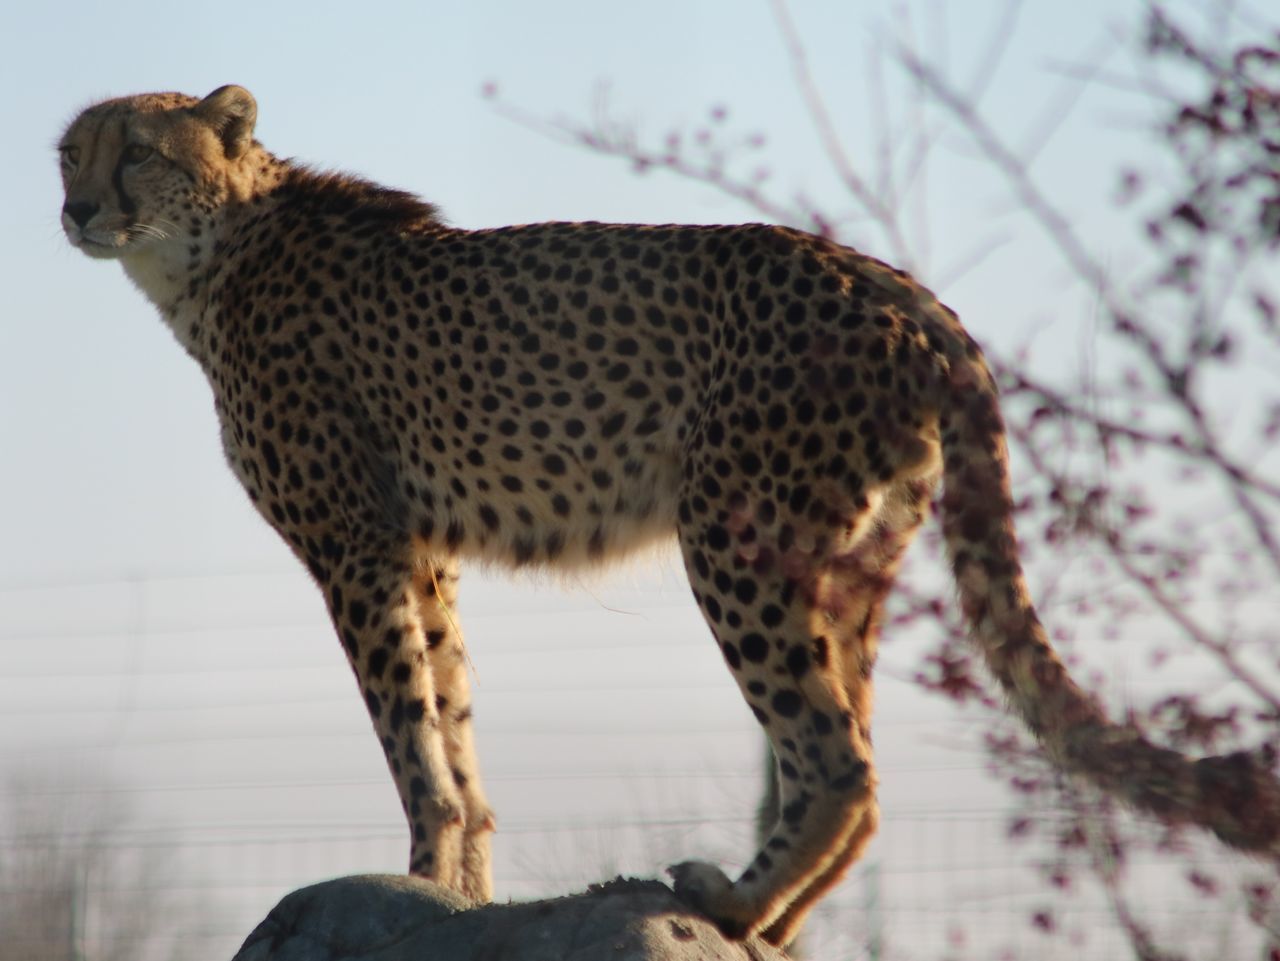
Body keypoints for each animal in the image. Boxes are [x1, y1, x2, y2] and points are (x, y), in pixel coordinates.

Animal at [57, 86, 1280, 941]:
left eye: (141, 153)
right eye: (72, 151)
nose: (75, 207)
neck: (213, 257)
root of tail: (895, 284)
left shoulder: (357, 547)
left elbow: (410, 734)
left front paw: (420, 875)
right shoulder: (421, 552)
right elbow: (452, 718)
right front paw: (465, 890)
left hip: (735, 534)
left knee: (834, 755)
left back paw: (733, 904)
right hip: (850, 557)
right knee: (853, 759)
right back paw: (767, 918)